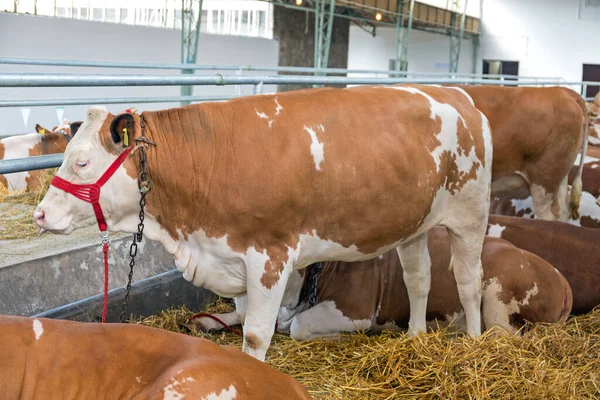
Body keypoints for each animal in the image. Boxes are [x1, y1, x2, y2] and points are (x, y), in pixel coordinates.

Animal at [32, 84, 492, 360]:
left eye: (82, 161)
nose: (40, 214)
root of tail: (456, 94)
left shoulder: (270, 256)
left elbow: (256, 335)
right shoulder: (229, 258)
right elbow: (240, 318)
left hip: (471, 214)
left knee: (469, 282)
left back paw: (474, 342)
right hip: (414, 224)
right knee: (419, 278)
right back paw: (415, 337)